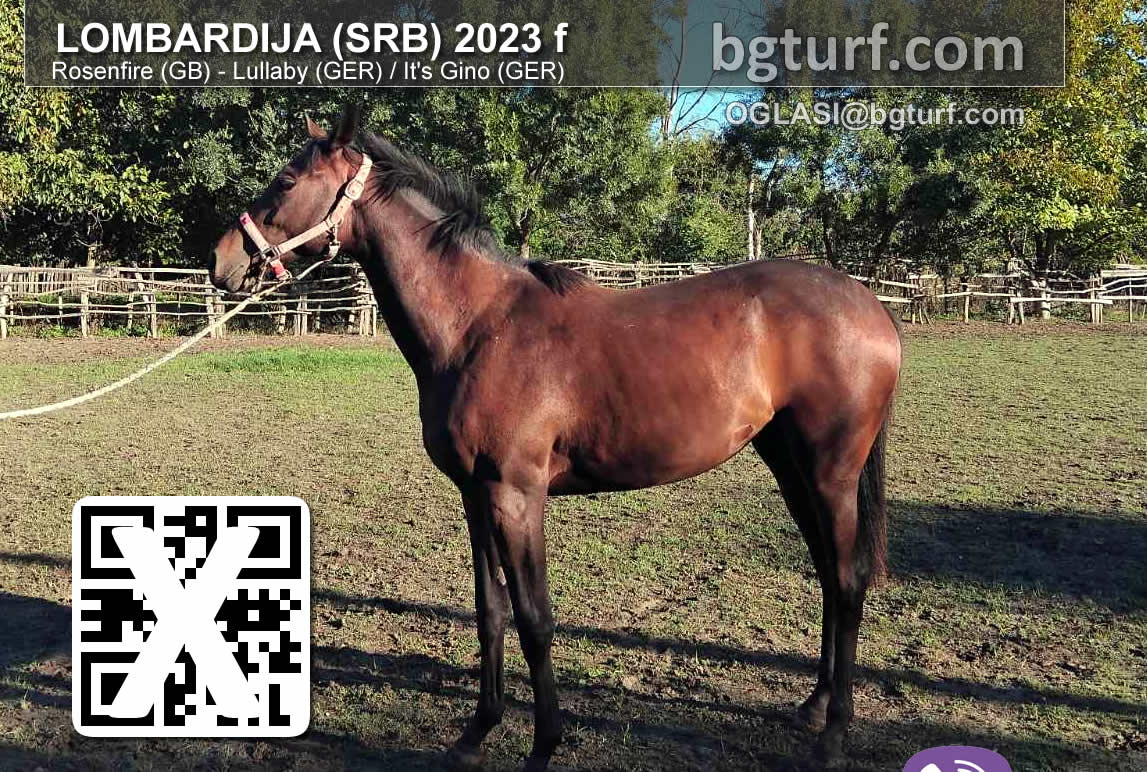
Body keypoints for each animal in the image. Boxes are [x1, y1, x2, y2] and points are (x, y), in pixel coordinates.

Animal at [208, 106, 902, 770]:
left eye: (286, 181)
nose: (223, 261)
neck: (478, 326)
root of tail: (871, 305)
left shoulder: (517, 495)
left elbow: (534, 617)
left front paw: (543, 745)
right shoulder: (475, 495)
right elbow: (490, 610)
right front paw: (476, 733)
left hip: (831, 472)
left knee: (848, 579)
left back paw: (833, 736)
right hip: (789, 464)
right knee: (827, 572)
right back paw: (813, 708)